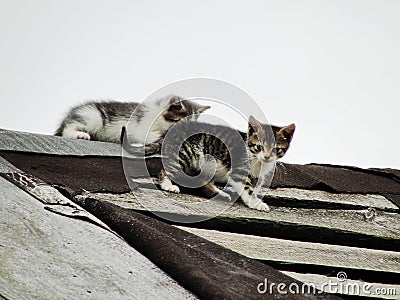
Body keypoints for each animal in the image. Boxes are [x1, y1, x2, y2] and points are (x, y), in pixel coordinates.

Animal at [55, 95, 209, 144]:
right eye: (179, 122)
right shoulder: (138, 128)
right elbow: (149, 135)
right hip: (93, 115)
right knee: (68, 128)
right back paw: (79, 135)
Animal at [145, 115, 296, 211]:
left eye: (276, 149)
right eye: (259, 147)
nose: (267, 157)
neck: (257, 160)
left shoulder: (256, 176)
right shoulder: (239, 170)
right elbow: (247, 189)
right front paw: (256, 203)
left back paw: (220, 193)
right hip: (187, 153)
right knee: (165, 170)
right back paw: (167, 185)